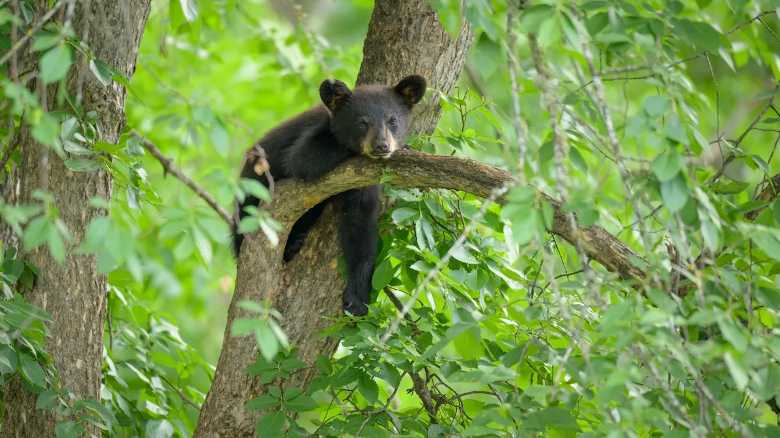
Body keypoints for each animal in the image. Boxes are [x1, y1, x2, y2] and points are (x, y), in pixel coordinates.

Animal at [233, 75, 427, 316]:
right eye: (362, 122)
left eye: (393, 120)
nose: (382, 146)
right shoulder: (313, 137)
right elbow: (302, 158)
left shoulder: (363, 182)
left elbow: (360, 224)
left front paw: (357, 298)